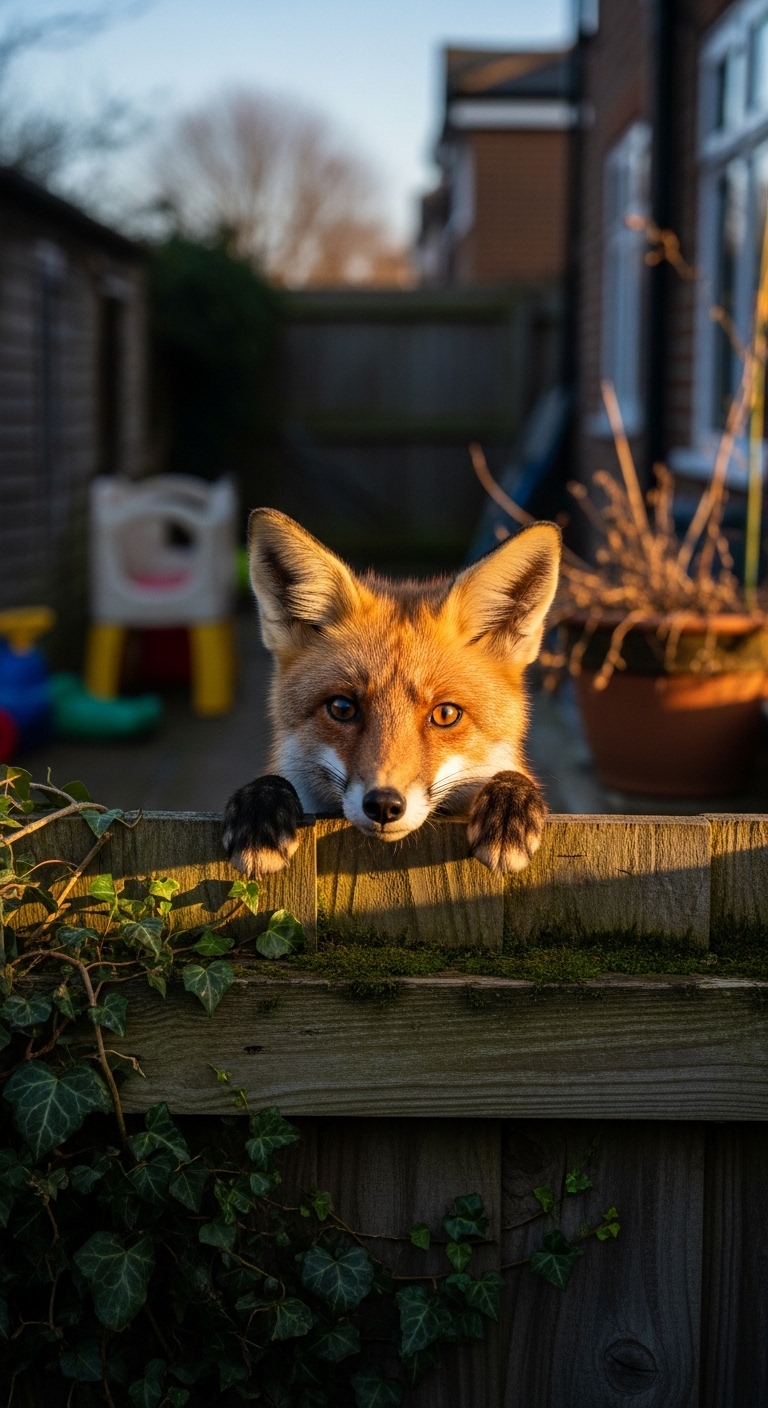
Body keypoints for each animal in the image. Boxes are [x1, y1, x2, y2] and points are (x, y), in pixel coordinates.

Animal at [222, 508, 561, 877]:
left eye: (446, 714)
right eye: (342, 708)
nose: (384, 805)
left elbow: (513, 775)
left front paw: (511, 803)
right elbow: (274, 779)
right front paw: (261, 808)